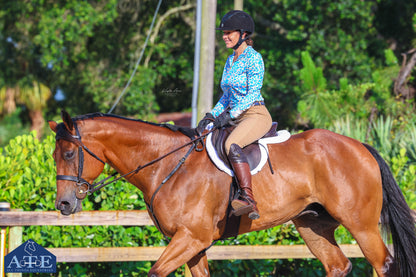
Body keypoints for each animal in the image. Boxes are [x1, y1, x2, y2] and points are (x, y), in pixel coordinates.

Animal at [49, 110, 416, 276]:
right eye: (54, 155)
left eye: (68, 154)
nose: (63, 204)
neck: (167, 164)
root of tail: (361, 147)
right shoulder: (193, 244)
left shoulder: (191, 238)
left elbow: (155, 272)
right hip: (313, 225)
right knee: (338, 266)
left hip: (361, 224)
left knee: (383, 264)